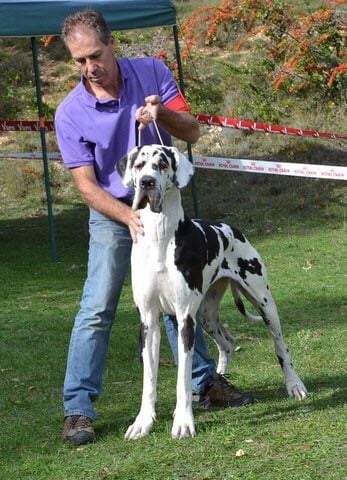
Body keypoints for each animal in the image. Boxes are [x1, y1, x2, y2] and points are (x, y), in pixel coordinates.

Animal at [116, 144, 308, 440]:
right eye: (139, 166)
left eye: (162, 165)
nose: (147, 182)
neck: (160, 236)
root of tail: (231, 228)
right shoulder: (148, 320)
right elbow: (149, 379)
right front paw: (143, 422)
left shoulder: (185, 320)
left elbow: (183, 377)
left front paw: (183, 422)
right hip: (206, 316)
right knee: (227, 342)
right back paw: (220, 378)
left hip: (264, 304)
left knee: (281, 347)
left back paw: (294, 384)